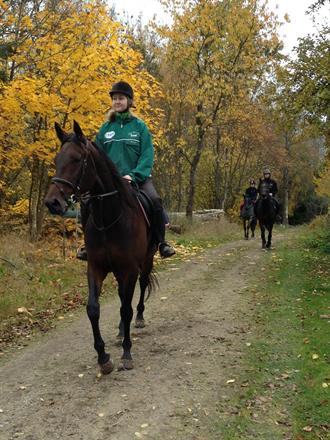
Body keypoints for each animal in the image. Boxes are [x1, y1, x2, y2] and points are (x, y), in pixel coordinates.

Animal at [44, 121, 157, 374]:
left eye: (77, 159)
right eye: (57, 159)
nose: (52, 202)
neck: (110, 218)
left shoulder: (129, 269)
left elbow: (126, 308)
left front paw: (126, 354)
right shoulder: (95, 267)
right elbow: (93, 308)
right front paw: (103, 357)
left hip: (146, 260)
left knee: (140, 288)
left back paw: (139, 319)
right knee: (122, 297)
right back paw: (120, 330)